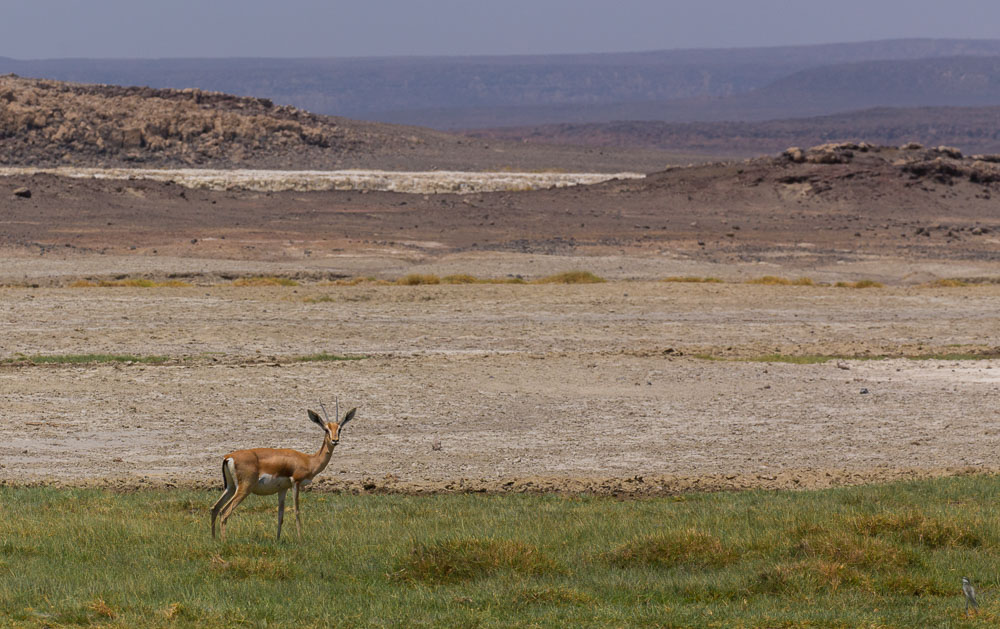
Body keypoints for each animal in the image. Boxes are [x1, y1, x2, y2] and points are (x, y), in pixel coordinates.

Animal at [211, 404, 356, 541]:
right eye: (326, 429)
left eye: (339, 429)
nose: (335, 440)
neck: (309, 460)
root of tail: (229, 457)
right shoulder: (295, 482)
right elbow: (297, 511)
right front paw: (300, 539)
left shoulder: (283, 489)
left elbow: (280, 515)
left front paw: (278, 539)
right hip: (244, 488)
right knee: (224, 512)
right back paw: (224, 541)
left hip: (230, 487)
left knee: (215, 508)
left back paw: (214, 540)